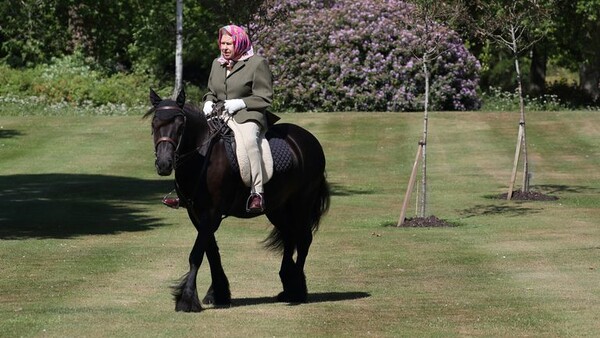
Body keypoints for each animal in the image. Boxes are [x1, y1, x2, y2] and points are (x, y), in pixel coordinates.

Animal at [146, 89, 332, 312]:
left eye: (181, 126)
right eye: (154, 124)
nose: (164, 164)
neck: (203, 156)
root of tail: (308, 139)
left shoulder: (212, 213)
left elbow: (197, 254)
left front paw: (187, 298)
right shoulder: (196, 213)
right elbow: (211, 251)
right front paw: (218, 293)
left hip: (301, 203)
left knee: (303, 239)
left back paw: (297, 289)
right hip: (277, 207)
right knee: (289, 236)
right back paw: (288, 285)